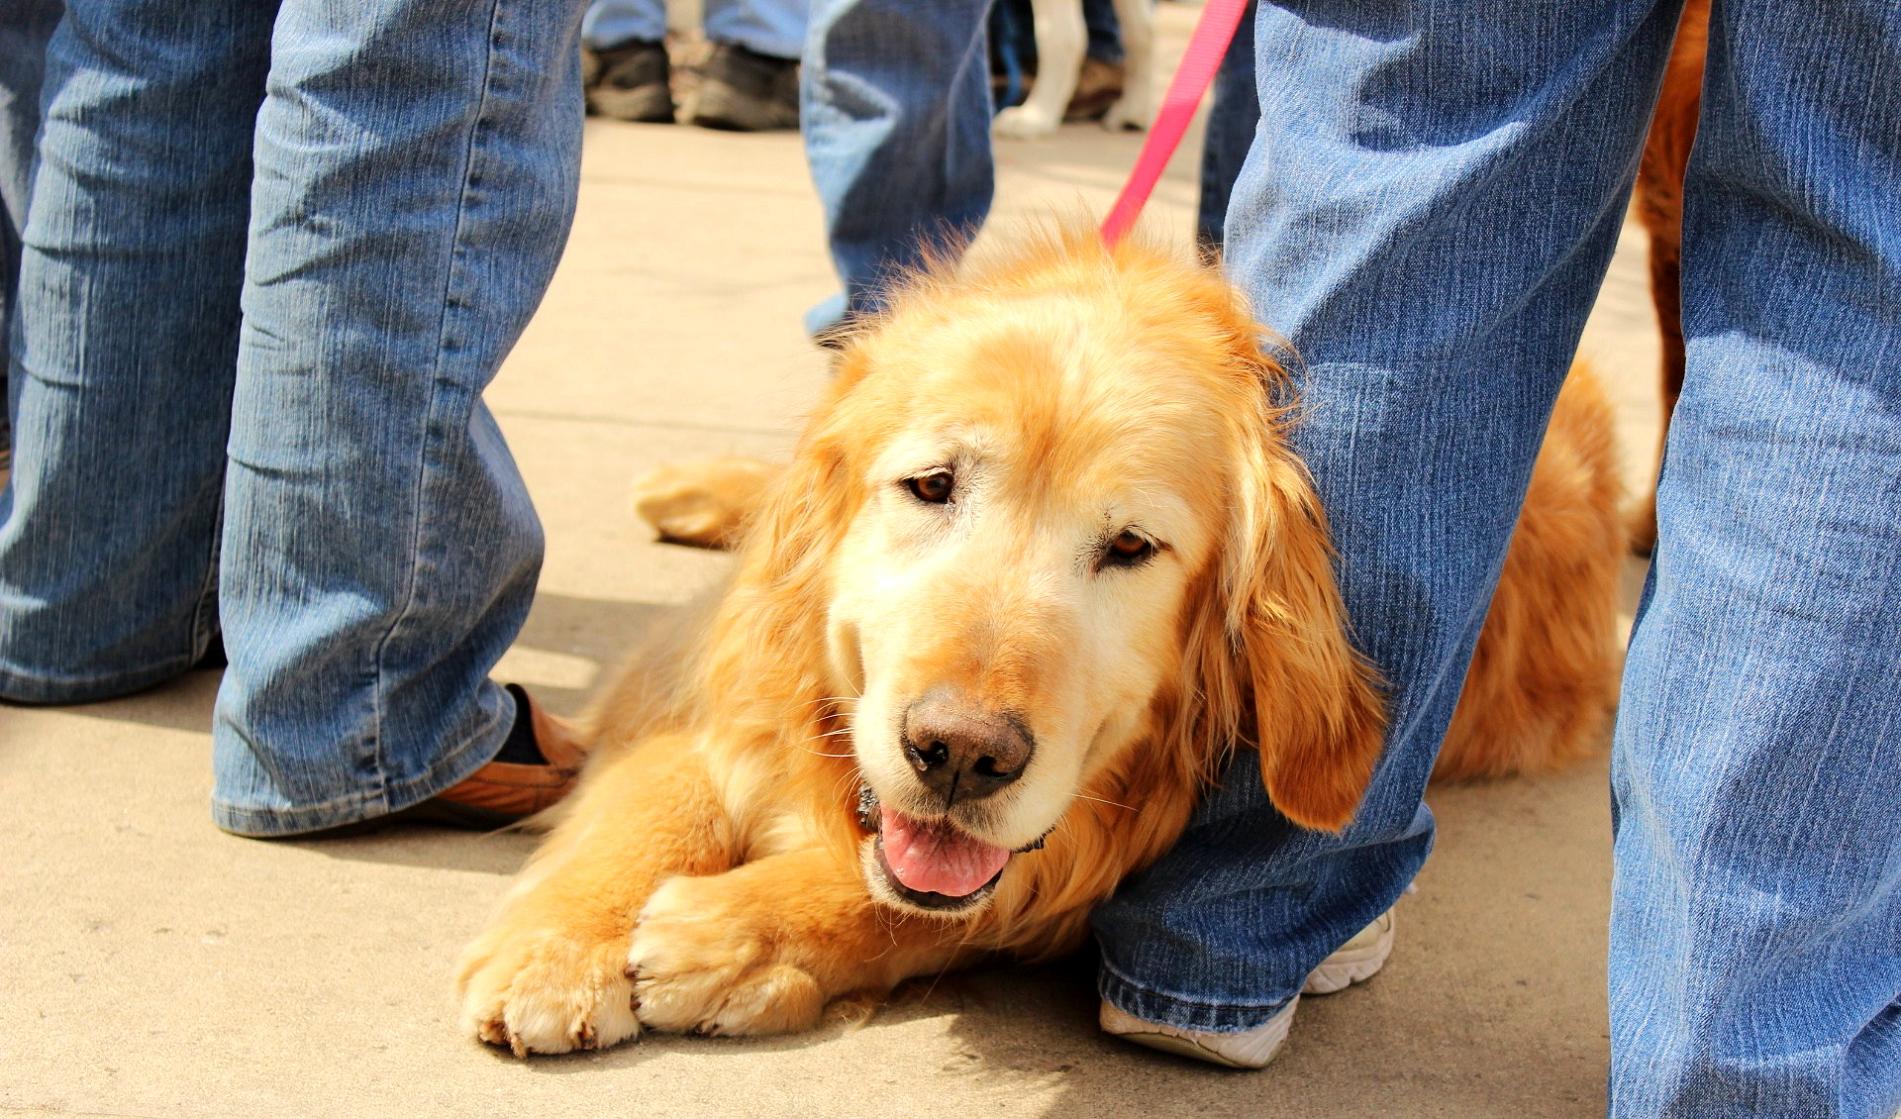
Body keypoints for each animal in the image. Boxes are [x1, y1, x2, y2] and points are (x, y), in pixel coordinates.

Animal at [456, 228, 1619, 1056]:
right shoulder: (708, 665)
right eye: (931, 485)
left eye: (1131, 546)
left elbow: (946, 900)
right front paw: (556, 950)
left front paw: (741, 934)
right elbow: (654, 798)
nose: (959, 755)